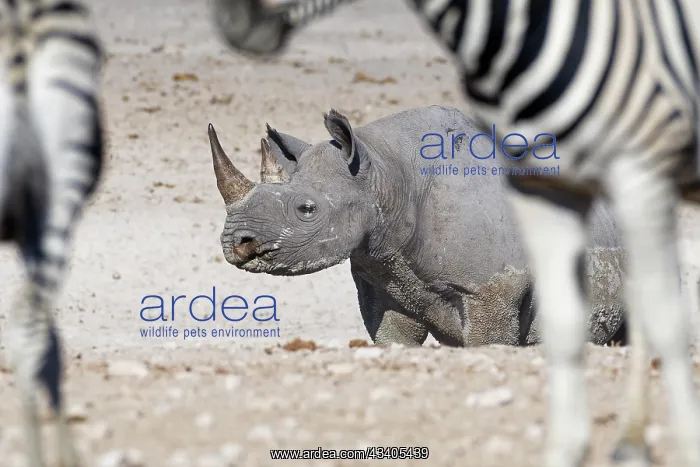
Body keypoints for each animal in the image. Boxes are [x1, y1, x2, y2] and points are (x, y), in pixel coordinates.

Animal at [207, 105, 626, 347]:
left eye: (306, 209)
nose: (235, 243)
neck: (384, 173)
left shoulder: (493, 289)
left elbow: (489, 343)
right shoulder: (385, 282)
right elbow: (393, 339)